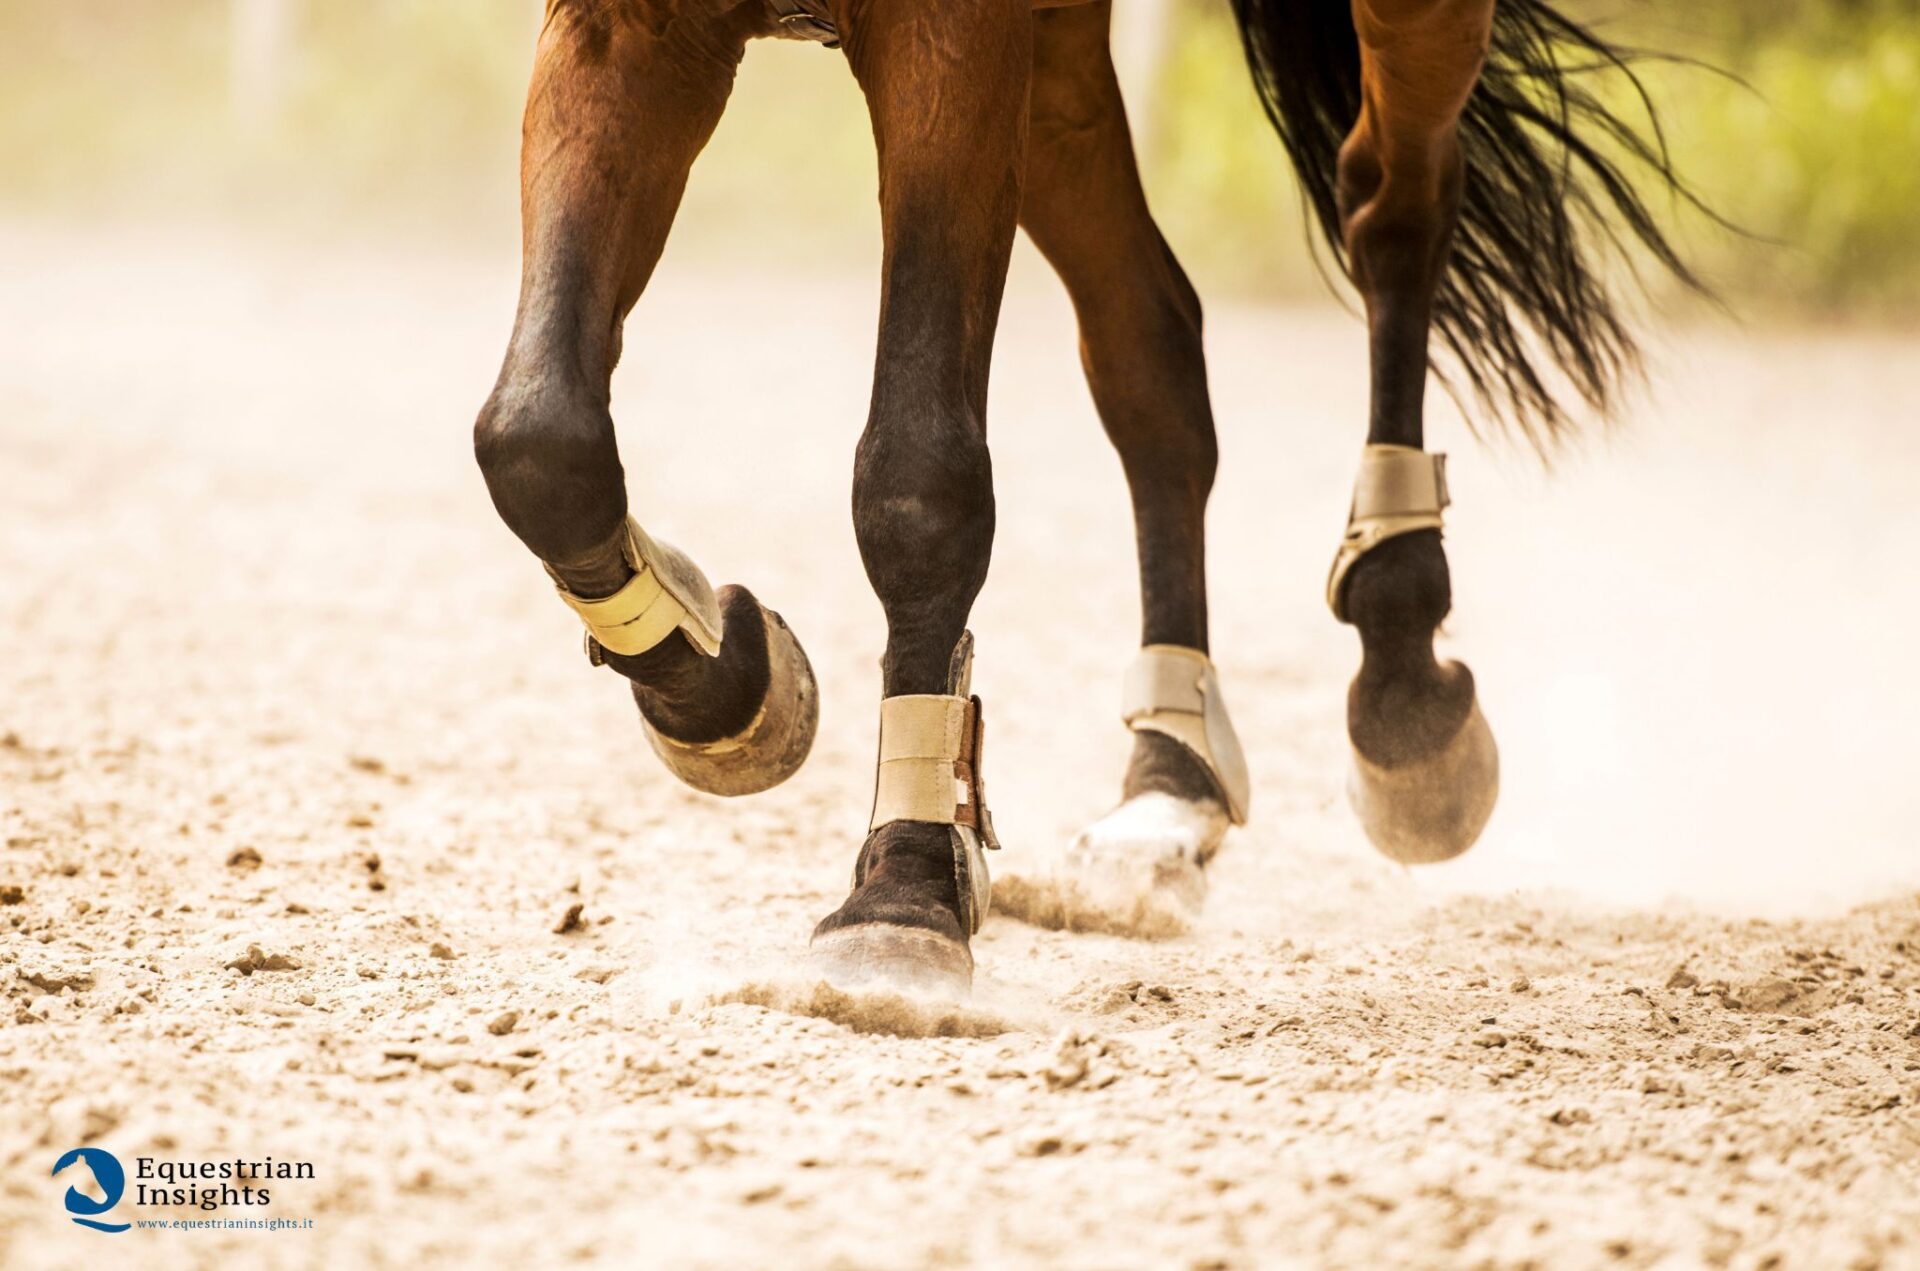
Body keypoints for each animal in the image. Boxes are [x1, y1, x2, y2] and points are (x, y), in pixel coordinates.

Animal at [473, 0, 1700, 994]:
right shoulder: (622, 26)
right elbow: (540, 441)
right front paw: (734, 680)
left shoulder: (951, 36)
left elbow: (917, 478)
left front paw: (903, 894)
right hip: (1060, 64)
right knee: (1150, 338)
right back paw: (1169, 781)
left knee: (1393, 208)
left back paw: (1405, 683)